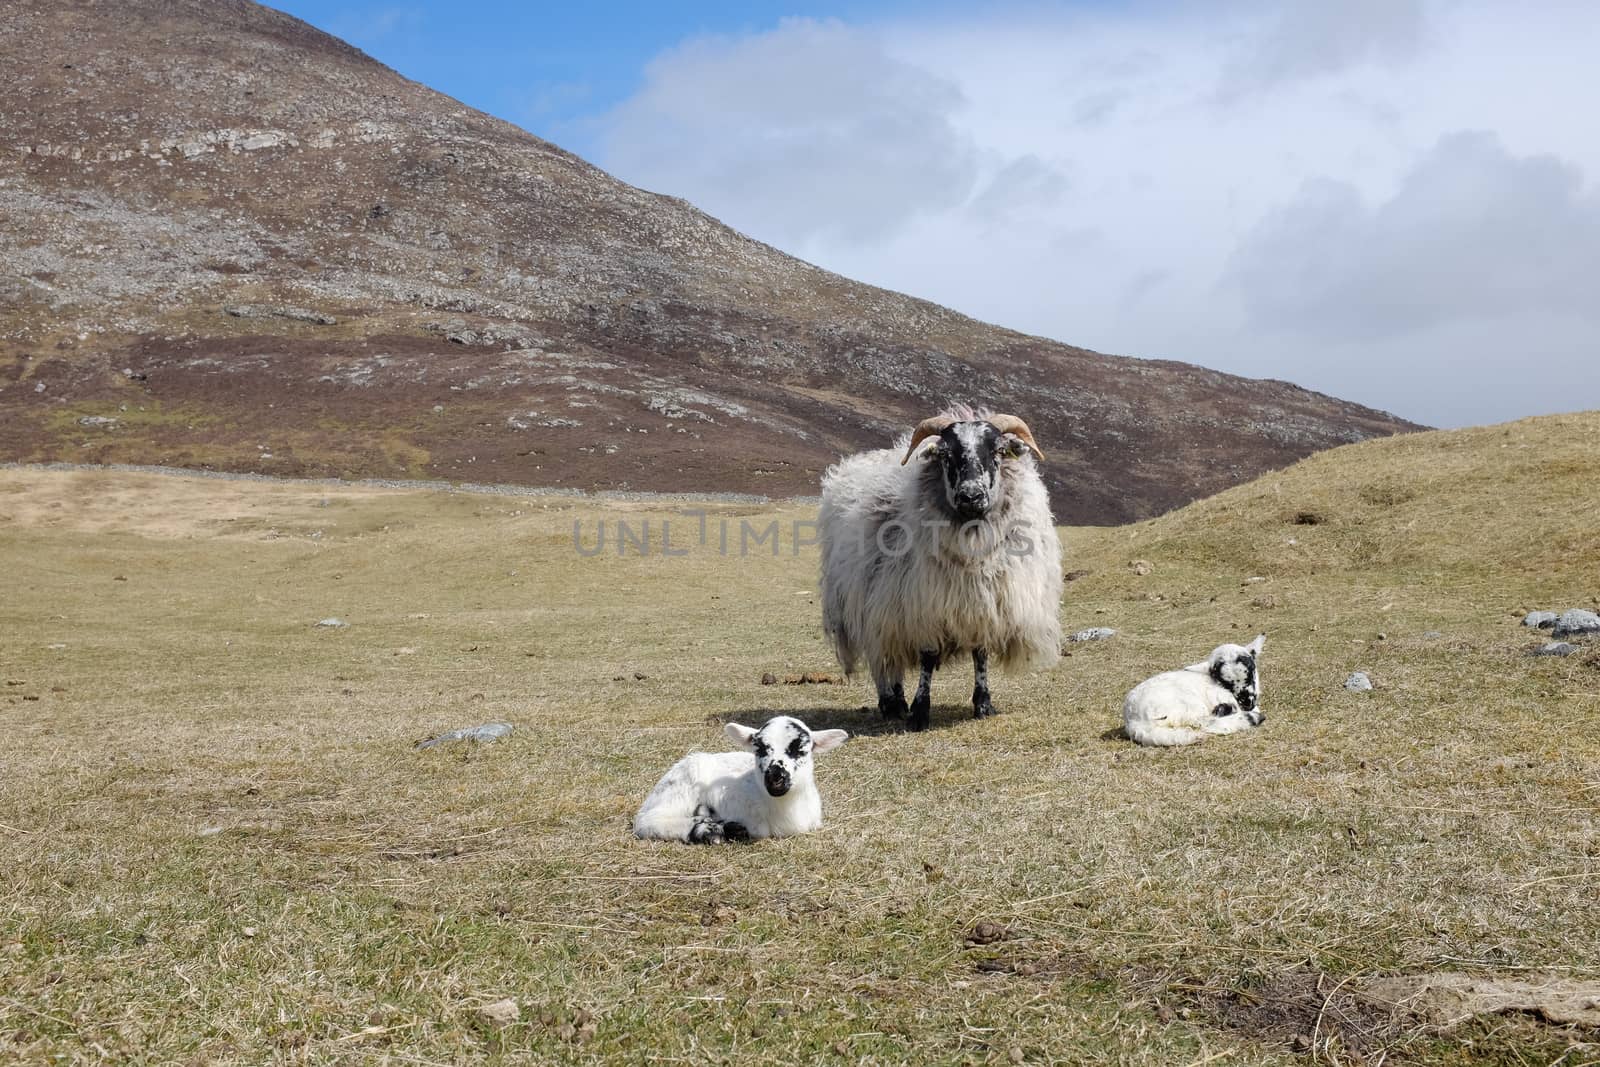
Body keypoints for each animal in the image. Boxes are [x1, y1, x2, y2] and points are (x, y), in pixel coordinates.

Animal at [630, 713, 851, 844]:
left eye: (801, 750)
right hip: (678, 789)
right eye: (759, 748)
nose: (775, 776)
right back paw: (709, 829)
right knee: (647, 821)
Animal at [825, 404, 1062, 729]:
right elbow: (927, 656)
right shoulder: (925, 606)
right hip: (872, 606)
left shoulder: (982, 604)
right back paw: (892, 702)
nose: (971, 496)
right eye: (945, 455)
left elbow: (980, 654)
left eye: (998, 451)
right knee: (883, 658)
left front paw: (983, 704)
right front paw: (919, 711)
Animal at [1120, 639, 1267, 748]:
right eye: (1225, 682)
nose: (1247, 702)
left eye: (1251, 672)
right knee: (1201, 722)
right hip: (1187, 705)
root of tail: (1134, 722)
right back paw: (1252, 718)